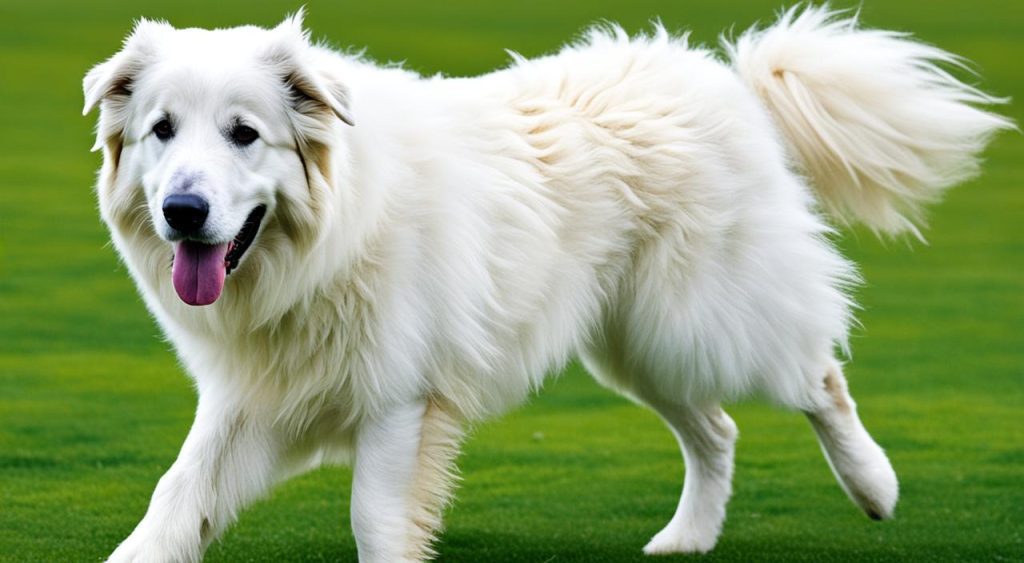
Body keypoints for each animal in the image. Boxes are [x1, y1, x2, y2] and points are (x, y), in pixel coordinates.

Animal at [81, 6, 1007, 560]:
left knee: (817, 378)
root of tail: (728, 77)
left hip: (705, 320)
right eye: (162, 130)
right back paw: (686, 539)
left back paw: (875, 487)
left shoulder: (398, 402)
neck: (324, 242)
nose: (183, 211)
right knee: (717, 430)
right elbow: (174, 499)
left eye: (244, 134)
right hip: (639, 346)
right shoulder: (252, 398)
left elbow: (374, 521)